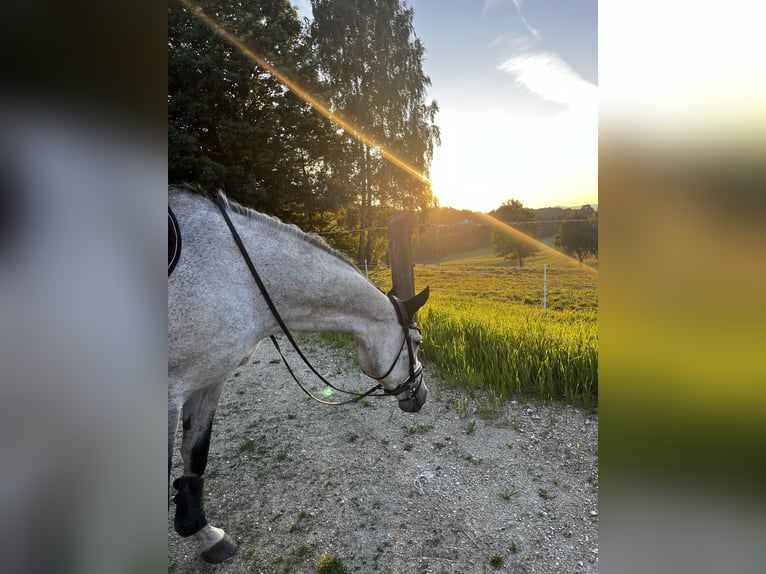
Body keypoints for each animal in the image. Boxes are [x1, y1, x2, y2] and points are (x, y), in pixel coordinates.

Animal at [170, 187, 432, 564]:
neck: (240, 278)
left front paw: (206, 535)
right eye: (416, 341)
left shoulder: (208, 380)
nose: (422, 396)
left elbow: (195, 456)